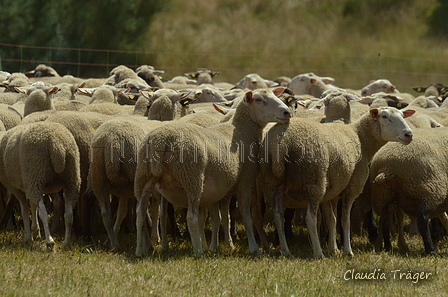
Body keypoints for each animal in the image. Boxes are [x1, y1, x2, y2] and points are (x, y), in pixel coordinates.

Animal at [134, 86, 294, 256]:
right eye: (258, 100)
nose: (286, 113)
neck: (243, 129)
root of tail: (160, 140)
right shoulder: (245, 181)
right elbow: (246, 216)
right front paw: (254, 248)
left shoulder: (216, 188)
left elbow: (216, 217)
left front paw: (214, 246)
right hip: (192, 178)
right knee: (191, 217)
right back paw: (198, 252)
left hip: (144, 176)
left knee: (140, 213)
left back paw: (140, 250)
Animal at [260, 106, 414, 256]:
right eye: (385, 116)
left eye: (402, 115)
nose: (409, 135)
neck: (361, 138)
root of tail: (281, 142)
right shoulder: (351, 187)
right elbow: (345, 221)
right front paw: (347, 250)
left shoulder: (332, 190)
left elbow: (332, 219)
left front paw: (333, 249)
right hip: (314, 180)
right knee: (310, 218)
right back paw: (318, 253)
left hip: (272, 182)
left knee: (278, 217)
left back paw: (286, 251)